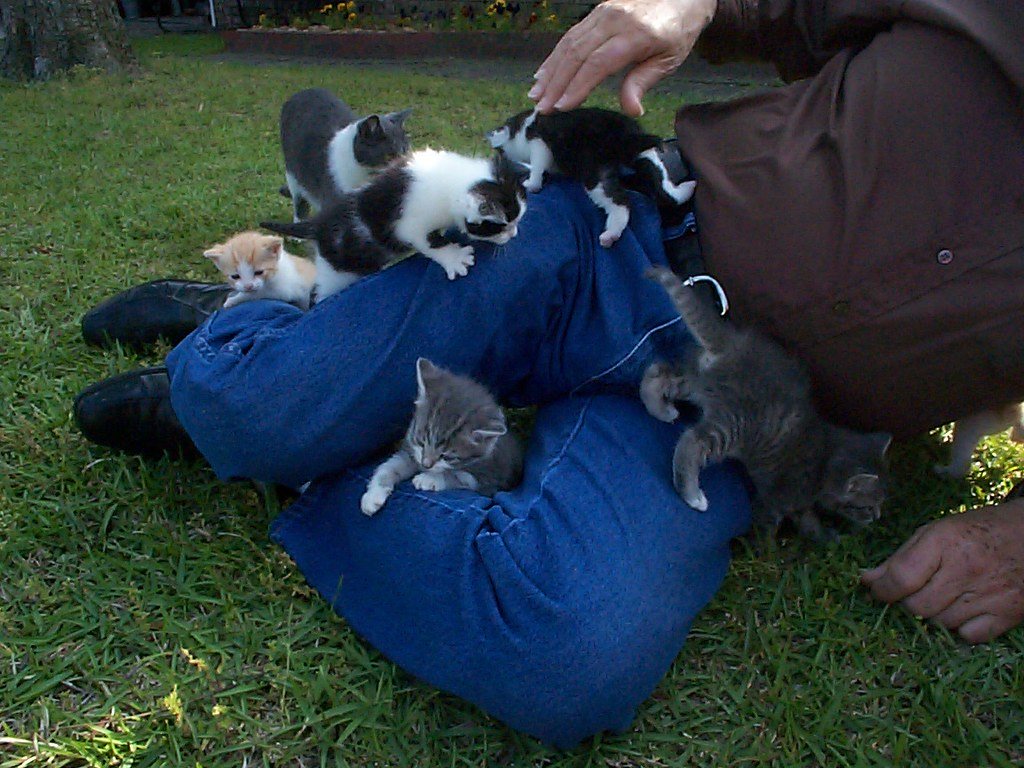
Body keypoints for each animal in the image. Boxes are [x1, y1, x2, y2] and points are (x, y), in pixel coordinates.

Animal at [260, 147, 528, 301]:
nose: (513, 233)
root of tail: (320, 223)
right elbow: (429, 243)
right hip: (338, 272)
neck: (447, 178)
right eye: (501, 226)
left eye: (518, 219)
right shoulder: (409, 223)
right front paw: (454, 258)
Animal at [280, 90, 411, 222]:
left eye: (406, 150)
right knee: (300, 204)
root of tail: (304, 91)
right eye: (389, 156)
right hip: (293, 176)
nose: (403, 165)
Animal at [360, 360, 524, 518]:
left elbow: (458, 477)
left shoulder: (489, 478)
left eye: (446, 456)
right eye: (421, 442)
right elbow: (390, 466)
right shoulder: (413, 453)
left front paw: (429, 478)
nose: (426, 465)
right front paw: (373, 495)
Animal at [485, 107, 696, 246]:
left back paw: (610, 234)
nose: (503, 162)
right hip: (640, 159)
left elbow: (537, 166)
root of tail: (627, 133)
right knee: (664, 187)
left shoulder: (539, 144)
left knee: (621, 203)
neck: (521, 126)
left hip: (594, 173)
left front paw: (532, 183)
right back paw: (688, 187)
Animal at [643, 268, 892, 544]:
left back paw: (661, 409)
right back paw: (693, 495)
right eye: (867, 506)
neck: (825, 457)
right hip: (735, 424)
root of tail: (732, 342)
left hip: (697, 378)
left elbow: (809, 522)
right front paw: (766, 549)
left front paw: (827, 538)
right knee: (692, 440)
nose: (878, 516)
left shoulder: (798, 503)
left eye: (881, 502)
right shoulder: (777, 496)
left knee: (657, 372)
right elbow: (766, 526)